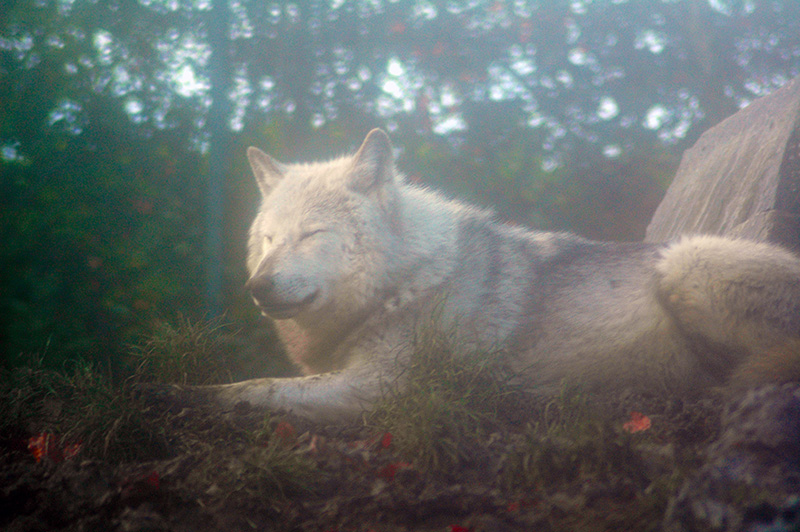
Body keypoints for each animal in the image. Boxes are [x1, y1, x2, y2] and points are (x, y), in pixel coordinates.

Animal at [175, 128, 800, 420]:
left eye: (311, 235)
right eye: (269, 240)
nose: (256, 287)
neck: (404, 282)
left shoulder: (380, 388)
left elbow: (254, 388)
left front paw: (178, 394)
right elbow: (258, 384)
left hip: (685, 263)